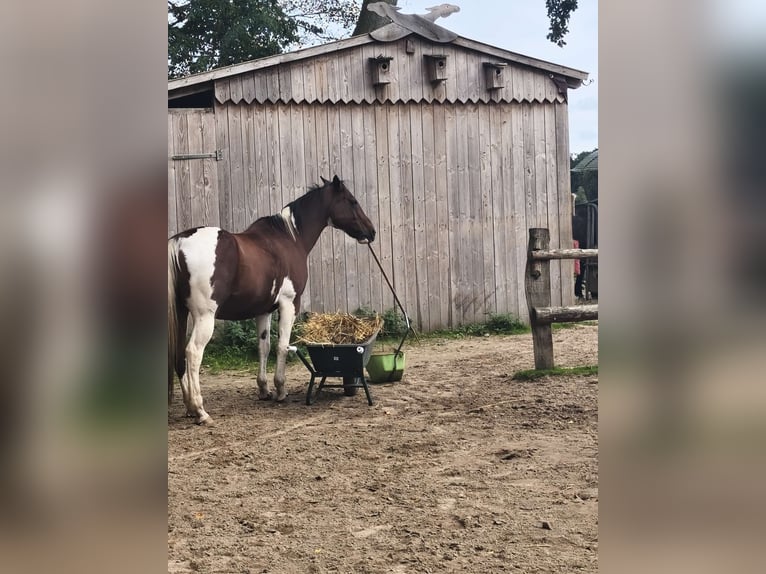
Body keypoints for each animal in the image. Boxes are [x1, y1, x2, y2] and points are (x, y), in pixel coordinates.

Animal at [167, 176, 376, 425]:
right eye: (352, 201)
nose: (371, 231)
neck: (289, 238)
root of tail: (179, 243)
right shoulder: (289, 304)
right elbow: (282, 346)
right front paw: (280, 390)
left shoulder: (263, 310)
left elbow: (264, 347)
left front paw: (264, 390)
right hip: (204, 317)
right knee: (193, 353)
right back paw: (200, 411)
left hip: (182, 314)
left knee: (179, 356)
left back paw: (190, 407)